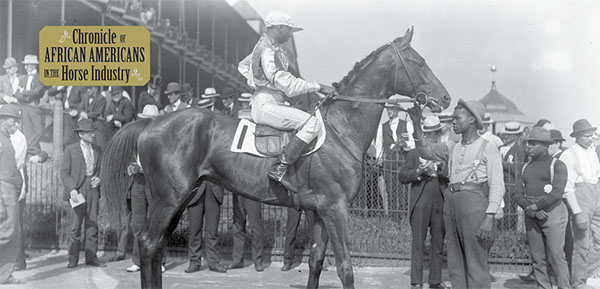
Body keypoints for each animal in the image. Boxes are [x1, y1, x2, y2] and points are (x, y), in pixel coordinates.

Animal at [102, 27, 450, 288]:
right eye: (418, 62)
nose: (445, 98)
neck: (340, 129)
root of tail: (151, 122)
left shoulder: (318, 211)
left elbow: (316, 262)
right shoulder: (335, 208)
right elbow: (345, 269)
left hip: (178, 199)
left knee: (157, 247)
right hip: (167, 199)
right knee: (149, 244)